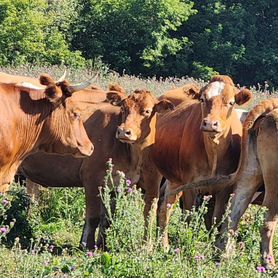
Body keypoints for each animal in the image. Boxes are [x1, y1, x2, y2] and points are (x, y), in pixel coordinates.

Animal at [20, 89, 174, 250]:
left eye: (147, 111)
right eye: (123, 108)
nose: (123, 131)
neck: (134, 157)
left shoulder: (133, 185)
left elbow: (113, 217)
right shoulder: (92, 178)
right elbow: (93, 217)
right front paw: (87, 245)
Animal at [149, 75, 253, 248]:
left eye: (231, 102)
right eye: (203, 99)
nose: (210, 123)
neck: (213, 155)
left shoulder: (223, 189)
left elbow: (215, 221)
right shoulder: (190, 186)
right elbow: (189, 218)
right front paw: (185, 243)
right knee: (162, 205)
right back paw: (163, 244)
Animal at [172, 98, 278, 270]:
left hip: (250, 173)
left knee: (233, 212)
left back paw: (224, 255)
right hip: (273, 180)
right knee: (267, 221)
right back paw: (268, 263)